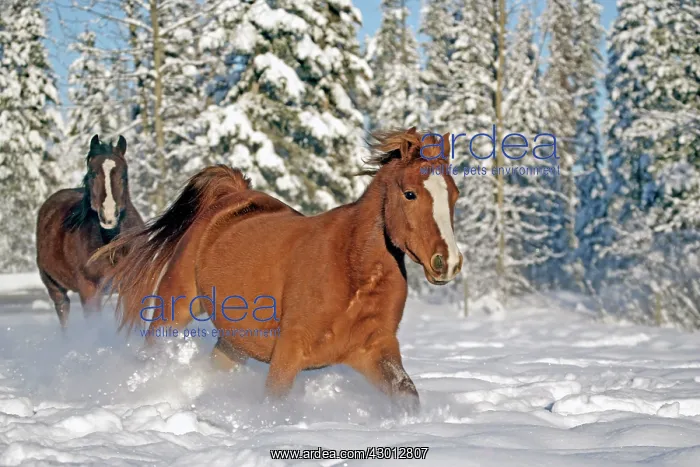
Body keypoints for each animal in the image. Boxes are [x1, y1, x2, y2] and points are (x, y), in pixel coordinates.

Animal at [36, 134, 144, 328]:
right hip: (54, 287)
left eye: (124, 175)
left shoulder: (132, 286)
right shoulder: (89, 290)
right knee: (63, 311)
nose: (109, 216)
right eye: (92, 174)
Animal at [94, 128, 462, 413]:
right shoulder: (288, 352)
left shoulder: (375, 351)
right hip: (175, 307)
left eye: (455, 195)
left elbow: (407, 396)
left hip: (234, 342)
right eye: (410, 193)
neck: (352, 270)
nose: (448, 262)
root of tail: (231, 195)